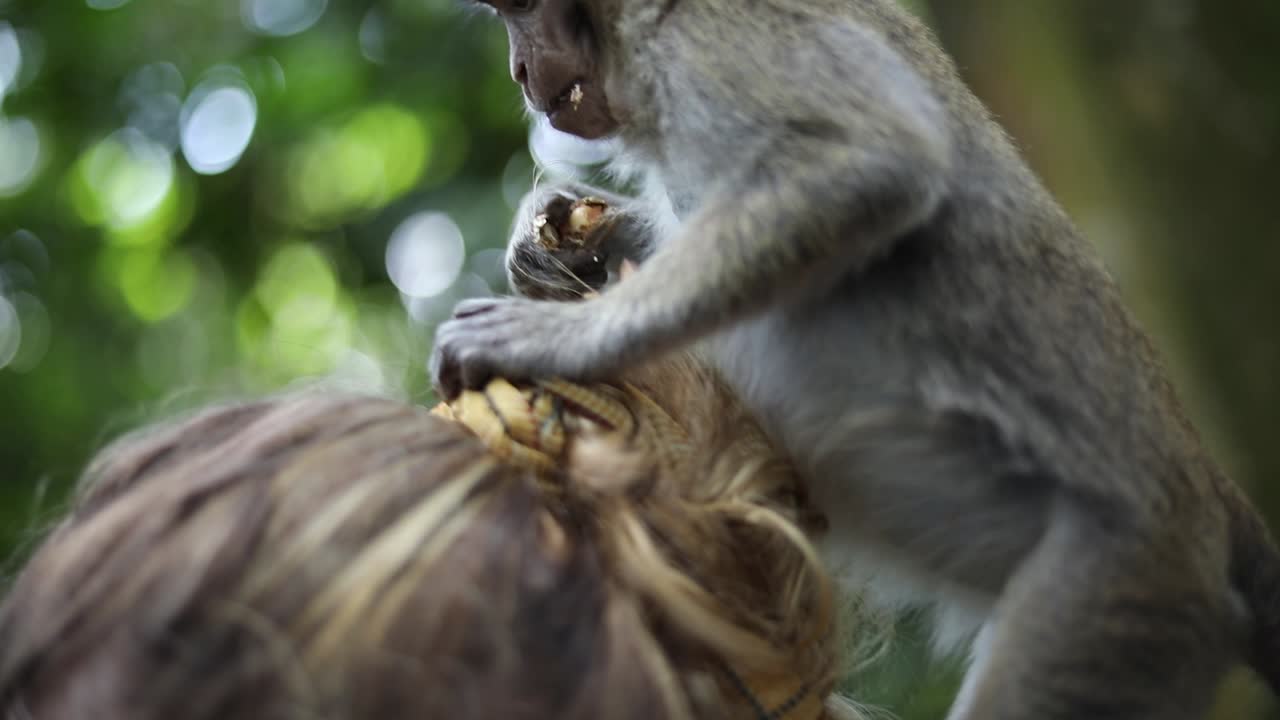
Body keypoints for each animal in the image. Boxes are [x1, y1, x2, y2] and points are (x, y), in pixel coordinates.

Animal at [431, 1, 1280, 718]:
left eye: (519, 10)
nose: (517, 70)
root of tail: (1211, 498)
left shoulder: (709, 39)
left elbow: (862, 168)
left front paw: (563, 336)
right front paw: (556, 237)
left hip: (1121, 592)